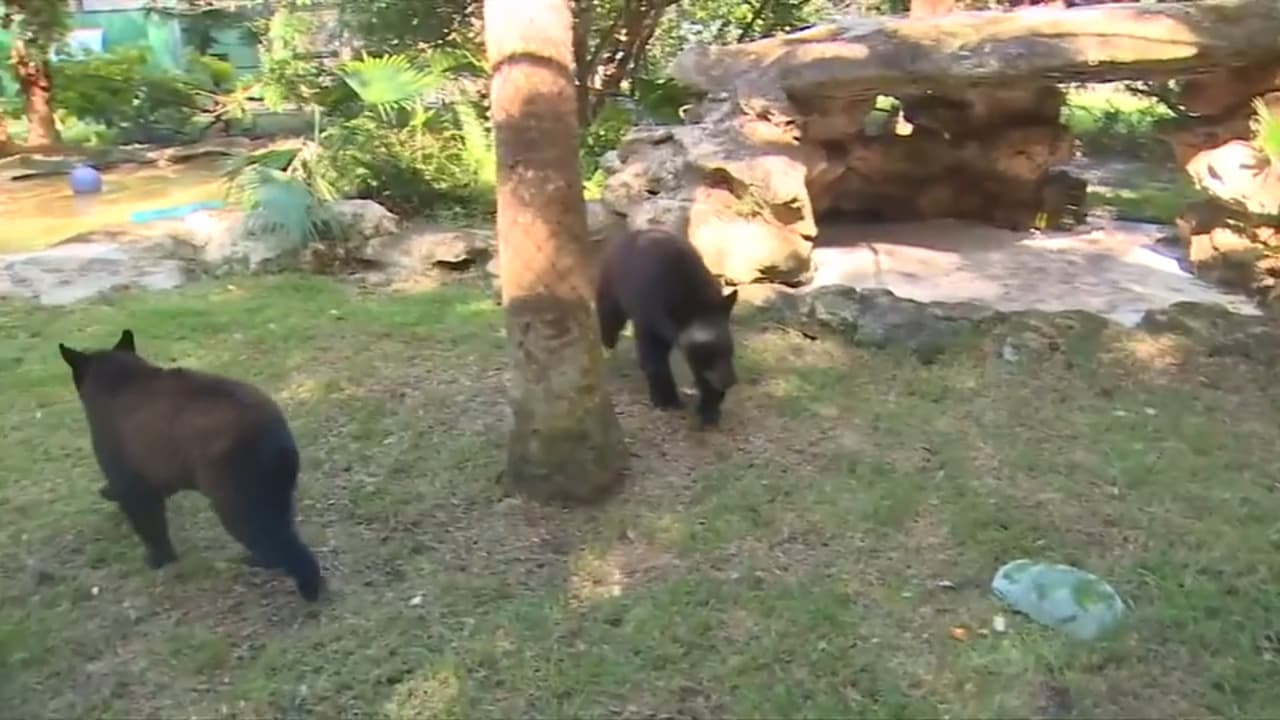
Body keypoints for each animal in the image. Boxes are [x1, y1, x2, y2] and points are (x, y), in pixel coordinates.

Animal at [58, 329, 323, 602]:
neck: (116, 382)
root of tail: (275, 437)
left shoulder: (125, 465)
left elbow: (143, 512)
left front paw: (159, 557)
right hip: (275, 487)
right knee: (280, 522)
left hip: (237, 485)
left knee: (267, 532)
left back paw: (307, 585)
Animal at [595, 227, 739, 427]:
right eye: (707, 351)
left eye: (729, 347)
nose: (729, 381)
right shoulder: (649, 313)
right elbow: (655, 358)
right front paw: (665, 399)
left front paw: (709, 408)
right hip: (611, 286)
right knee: (609, 318)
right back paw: (608, 350)